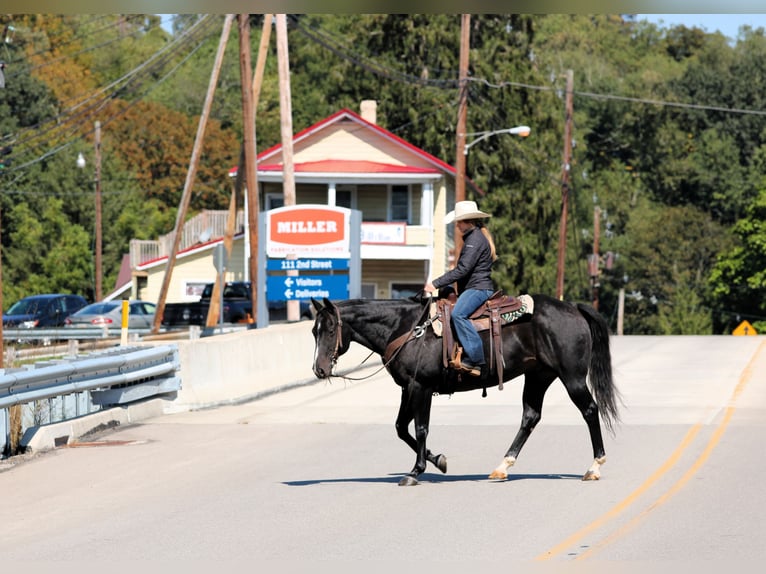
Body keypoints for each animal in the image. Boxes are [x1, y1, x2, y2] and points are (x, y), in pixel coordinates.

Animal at [310, 293, 620, 486]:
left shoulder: (421, 387)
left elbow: (420, 428)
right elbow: (401, 427)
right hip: (538, 376)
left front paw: (416, 471)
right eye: (314, 331)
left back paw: (594, 467)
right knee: (530, 416)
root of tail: (574, 308)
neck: (408, 329)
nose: (319, 369)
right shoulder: (407, 388)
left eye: (330, 330)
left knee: (589, 410)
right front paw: (438, 460)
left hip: (572, 378)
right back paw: (502, 467)